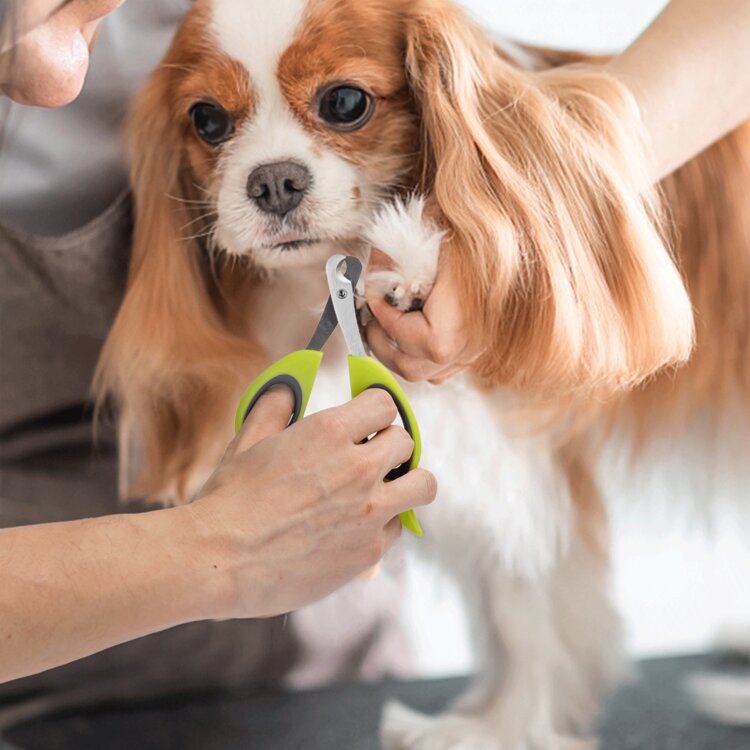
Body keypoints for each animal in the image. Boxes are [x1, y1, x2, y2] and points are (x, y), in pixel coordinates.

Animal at [94, 0, 750, 748]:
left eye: (345, 102)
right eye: (206, 120)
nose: (273, 180)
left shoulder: (521, 462)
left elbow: (531, 605)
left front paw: (502, 727)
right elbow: (503, 609)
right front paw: (490, 711)